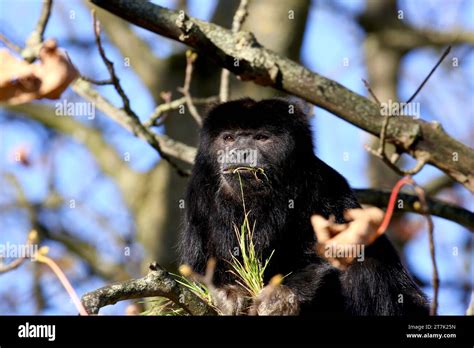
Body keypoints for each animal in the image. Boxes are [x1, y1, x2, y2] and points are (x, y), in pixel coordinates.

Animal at [179, 97, 430, 316]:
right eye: (228, 138)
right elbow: (197, 271)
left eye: (261, 137)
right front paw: (229, 294)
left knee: (368, 268)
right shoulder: (197, 196)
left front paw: (280, 297)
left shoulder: (326, 188)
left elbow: (339, 251)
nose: (241, 152)